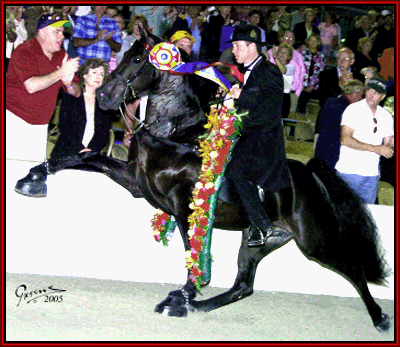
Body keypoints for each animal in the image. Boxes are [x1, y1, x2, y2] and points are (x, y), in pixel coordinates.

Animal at [50, 29, 390, 332]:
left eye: (136, 59)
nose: (103, 96)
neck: (176, 138)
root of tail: (309, 174)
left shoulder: (184, 207)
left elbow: (192, 252)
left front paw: (185, 292)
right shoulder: (135, 182)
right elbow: (87, 158)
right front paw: (40, 173)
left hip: (314, 240)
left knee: (353, 269)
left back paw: (380, 318)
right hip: (259, 241)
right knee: (243, 286)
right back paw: (198, 306)